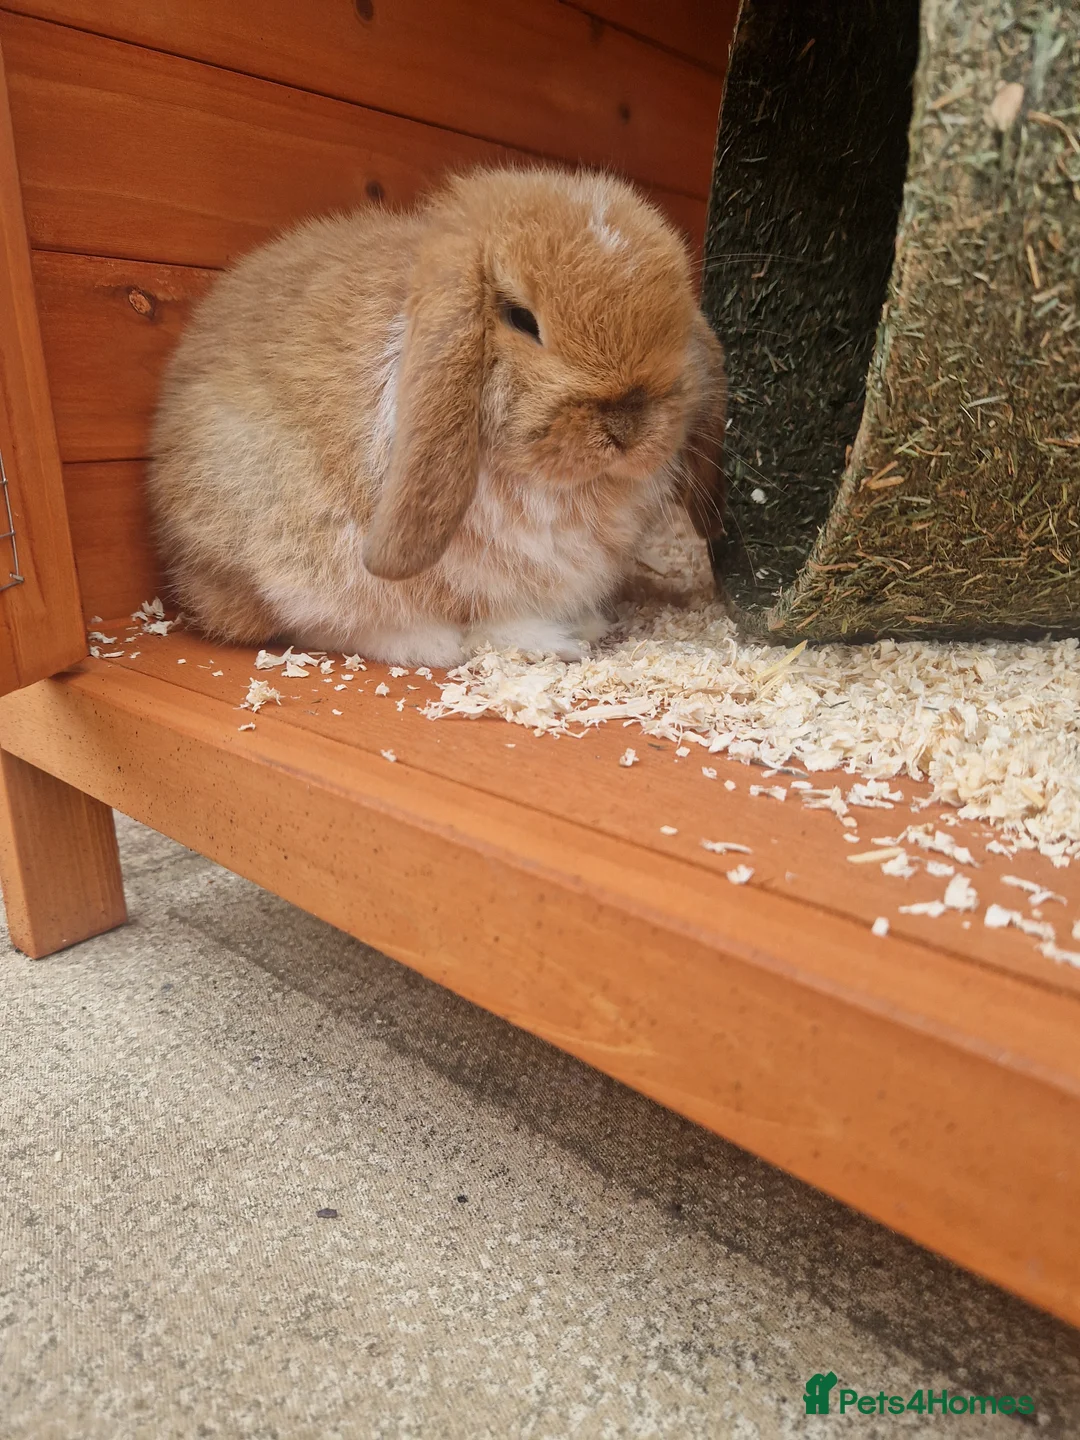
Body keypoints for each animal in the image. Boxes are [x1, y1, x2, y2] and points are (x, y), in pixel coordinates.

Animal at [149, 166, 726, 667]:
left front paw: (581, 625)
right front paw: (551, 641)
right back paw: (435, 643)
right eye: (521, 319)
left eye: (678, 327)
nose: (629, 427)